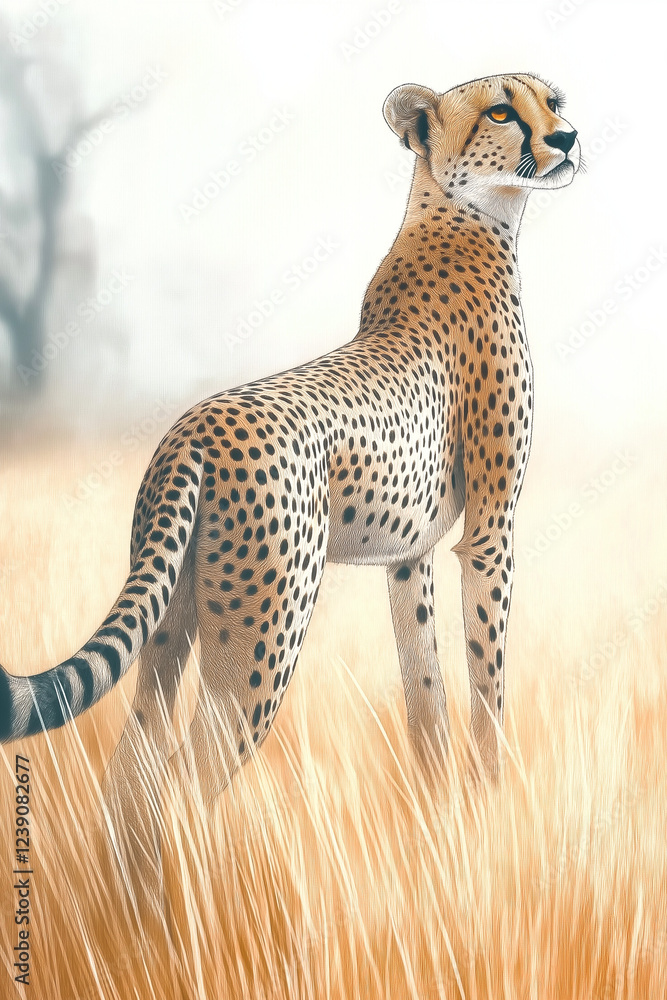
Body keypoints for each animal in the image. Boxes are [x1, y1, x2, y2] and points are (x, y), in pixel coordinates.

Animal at [0, 72, 580, 901]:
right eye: (500, 110)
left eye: (553, 100)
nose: (566, 138)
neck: (465, 214)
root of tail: (195, 428)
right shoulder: (490, 531)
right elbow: (486, 679)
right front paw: (495, 808)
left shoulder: (408, 556)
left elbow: (425, 690)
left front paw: (440, 822)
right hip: (265, 628)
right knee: (186, 774)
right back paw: (196, 900)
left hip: (174, 610)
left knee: (134, 760)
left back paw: (135, 904)